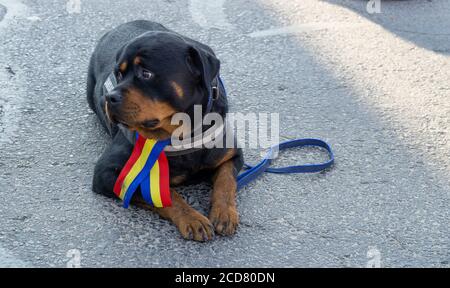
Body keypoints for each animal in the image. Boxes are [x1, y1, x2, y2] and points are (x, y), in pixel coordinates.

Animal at [86, 20, 244, 241]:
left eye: (146, 74)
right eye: (118, 74)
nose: (110, 97)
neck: (183, 134)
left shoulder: (232, 154)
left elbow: (226, 180)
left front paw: (224, 212)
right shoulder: (109, 172)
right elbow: (163, 195)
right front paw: (192, 218)